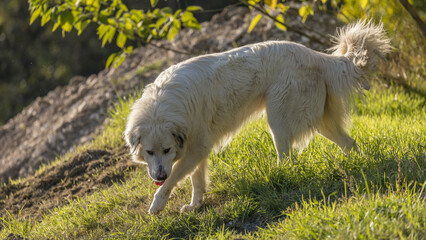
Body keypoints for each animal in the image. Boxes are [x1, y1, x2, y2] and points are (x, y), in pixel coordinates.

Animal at [124, 21, 390, 214]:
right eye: (149, 152)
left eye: (167, 150)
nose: (159, 176)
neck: (164, 103)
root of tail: (316, 56)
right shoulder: (196, 148)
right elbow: (196, 180)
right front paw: (194, 206)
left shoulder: (196, 147)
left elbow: (175, 178)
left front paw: (157, 205)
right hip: (320, 121)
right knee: (350, 143)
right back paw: (358, 165)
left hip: (278, 119)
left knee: (287, 159)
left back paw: (277, 178)